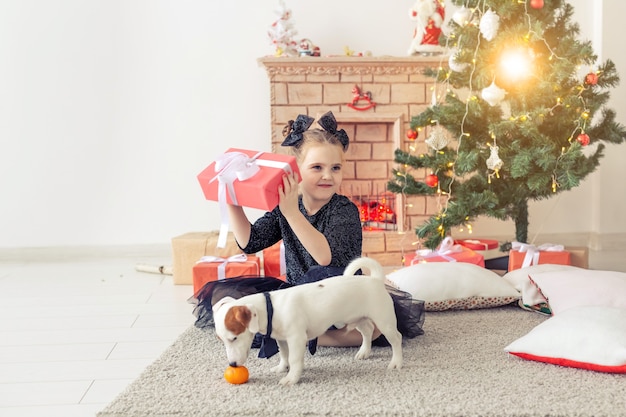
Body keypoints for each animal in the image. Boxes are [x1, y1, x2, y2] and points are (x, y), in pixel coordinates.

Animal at [212, 255, 402, 386]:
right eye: (222, 340)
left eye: (234, 338)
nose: (232, 364)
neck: (271, 308)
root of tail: (375, 279)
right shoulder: (282, 340)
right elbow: (284, 356)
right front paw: (282, 368)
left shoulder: (297, 339)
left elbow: (295, 360)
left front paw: (291, 378)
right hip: (359, 319)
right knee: (368, 331)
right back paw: (364, 352)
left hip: (384, 321)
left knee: (396, 339)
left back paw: (396, 362)